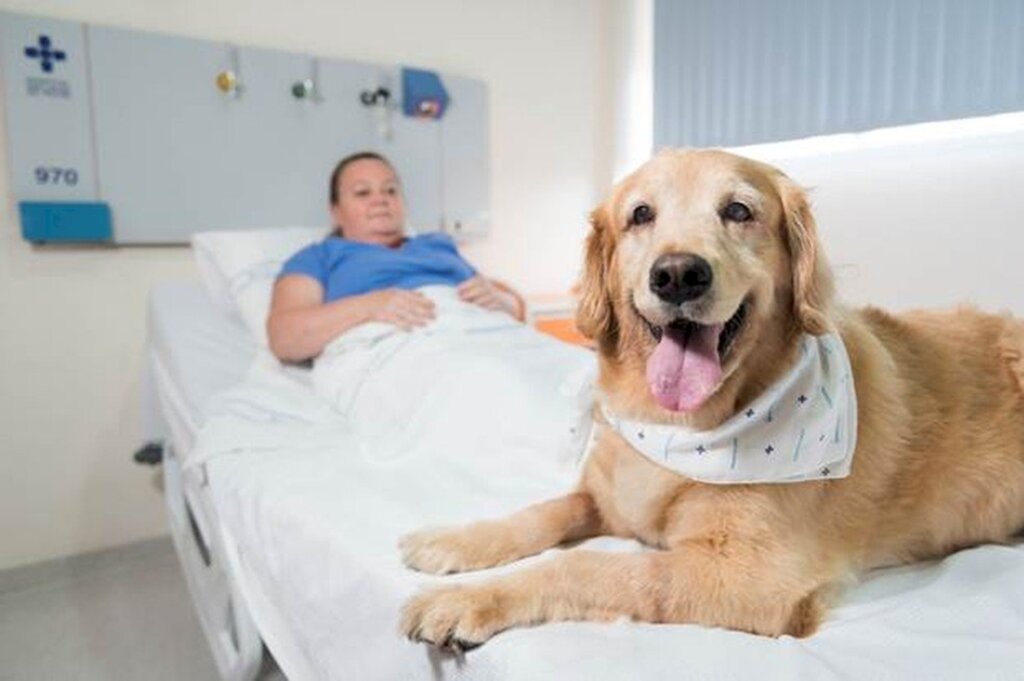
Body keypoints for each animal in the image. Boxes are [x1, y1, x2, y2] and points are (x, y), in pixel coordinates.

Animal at [397, 148, 1024, 647]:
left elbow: (582, 564)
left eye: (739, 211)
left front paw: (465, 599)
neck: (676, 425)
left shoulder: (753, 575)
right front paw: (454, 541)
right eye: (640, 215)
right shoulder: (606, 497)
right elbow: (543, 511)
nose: (677, 275)